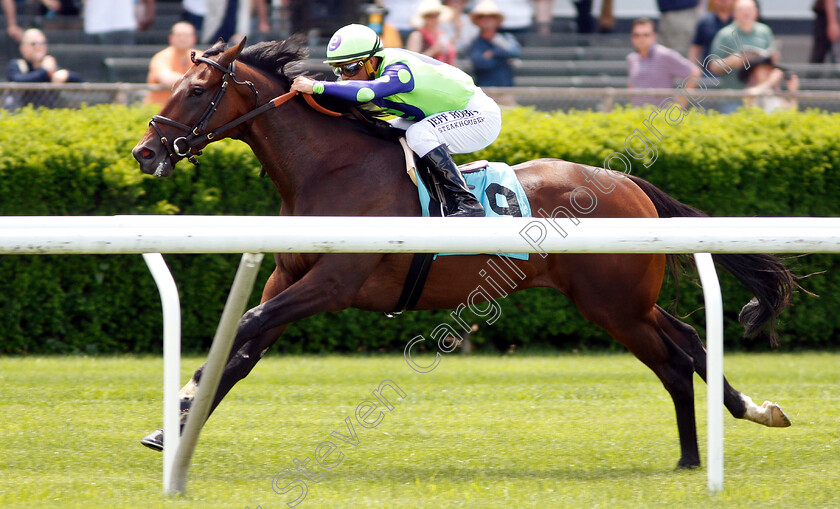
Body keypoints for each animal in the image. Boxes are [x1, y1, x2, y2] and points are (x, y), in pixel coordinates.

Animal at [131, 37, 796, 470]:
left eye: (195, 89)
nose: (145, 151)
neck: (330, 169)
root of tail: (627, 182)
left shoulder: (333, 284)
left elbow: (244, 326)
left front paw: (181, 405)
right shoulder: (286, 278)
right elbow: (239, 352)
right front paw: (171, 428)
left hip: (614, 303)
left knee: (674, 356)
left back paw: (711, 442)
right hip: (620, 299)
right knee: (684, 342)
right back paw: (724, 432)